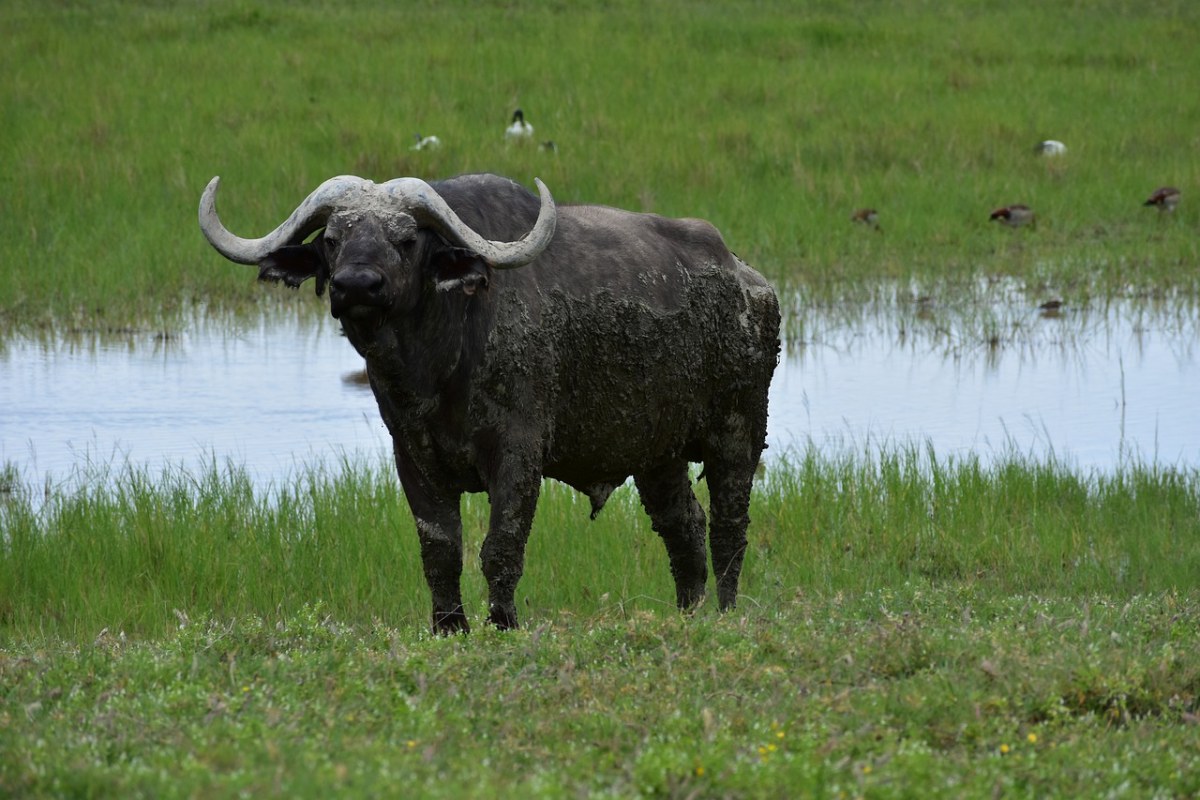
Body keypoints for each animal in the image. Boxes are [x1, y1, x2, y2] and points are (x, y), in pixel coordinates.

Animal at [199, 172, 777, 633]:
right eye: (333, 239)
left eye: (406, 239)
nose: (356, 285)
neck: (438, 366)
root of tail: (748, 279)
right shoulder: (412, 456)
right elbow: (440, 552)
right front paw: (449, 627)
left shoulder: (518, 455)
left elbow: (501, 547)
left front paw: (503, 623)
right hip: (657, 454)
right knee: (683, 526)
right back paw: (688, 611)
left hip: (738, 432)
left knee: (729, 527)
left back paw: (725, 610)